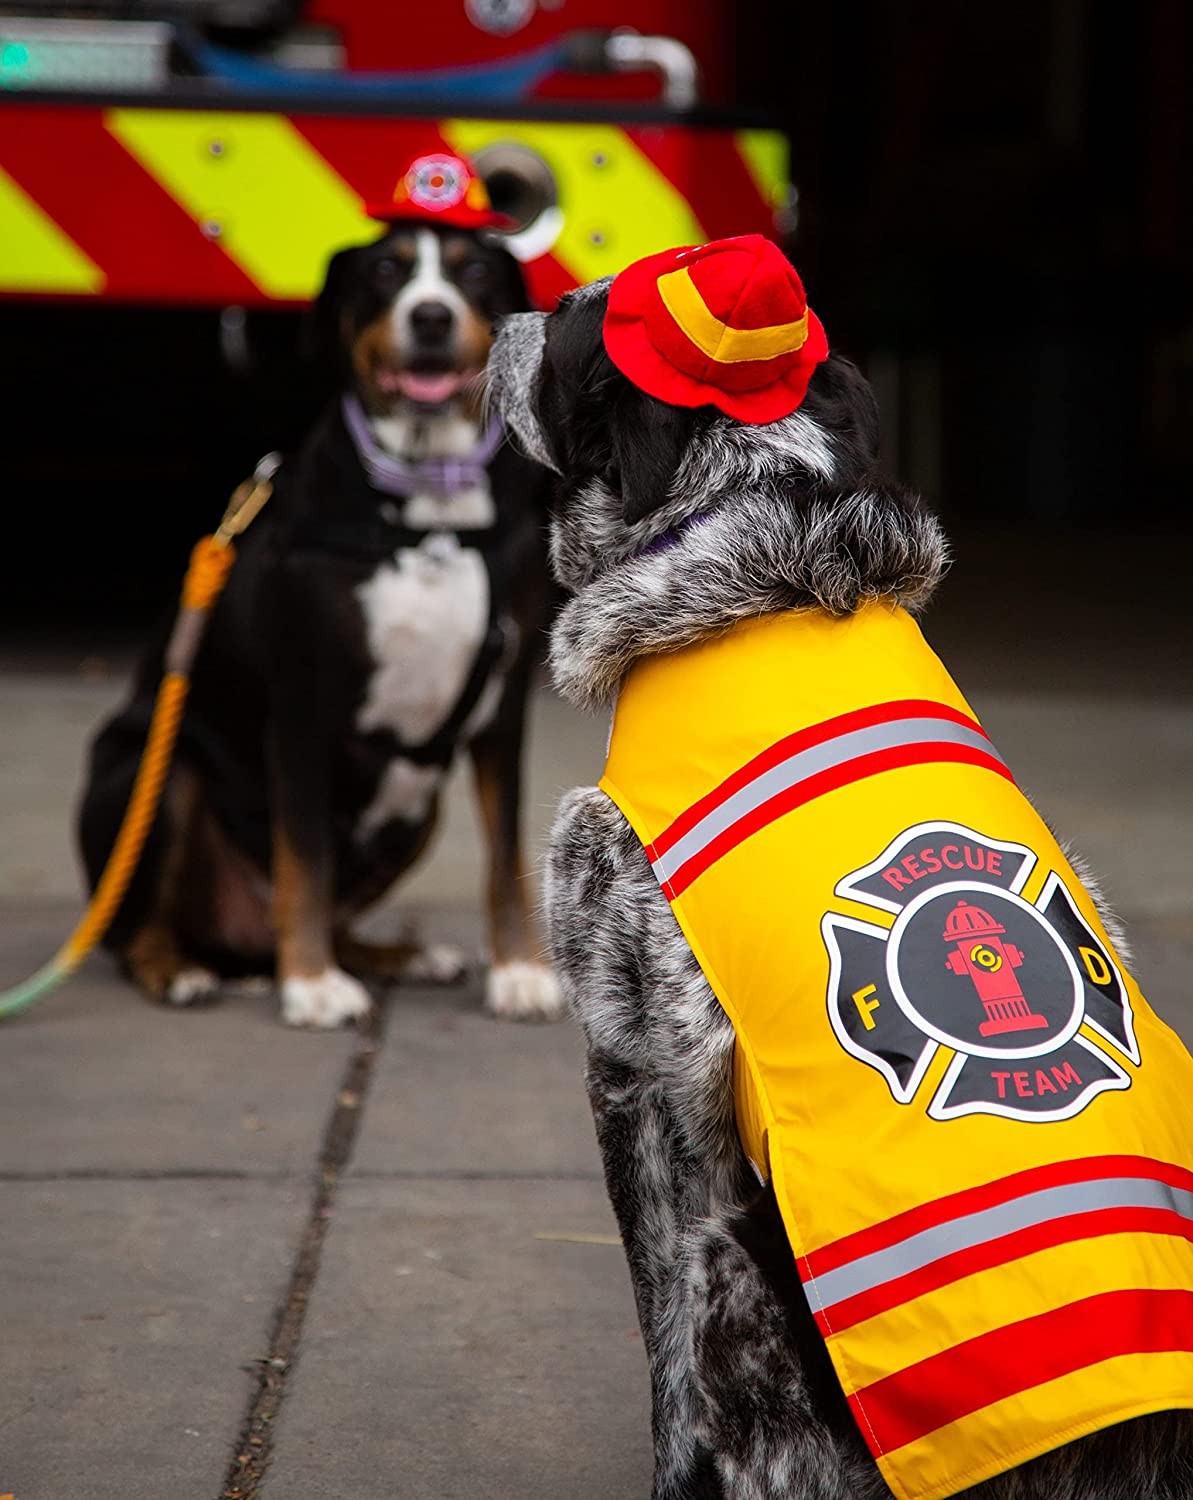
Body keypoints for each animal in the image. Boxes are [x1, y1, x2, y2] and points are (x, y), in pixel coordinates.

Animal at [79, 167, 564, 1032]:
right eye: (387, 271)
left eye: (474, 271)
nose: (431, 316)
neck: (428, 513)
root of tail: (236, 940)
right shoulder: (302, 706)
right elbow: (304, 856)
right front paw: (309, 986)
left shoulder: (502, 709)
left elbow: (505, 856)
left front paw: (519, 973)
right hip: (158, 773)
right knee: (140, 925)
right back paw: (186, 970)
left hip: (418, 801)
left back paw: (394, 957)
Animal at [486, 249, 1193, 1500]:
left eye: (570, 321)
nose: (503, 315)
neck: (754, 520)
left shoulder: (630, 1069)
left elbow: (662, 1359)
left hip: (737, 1276)